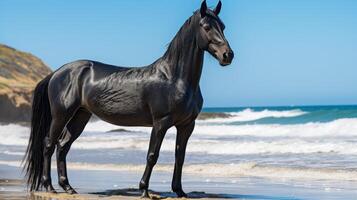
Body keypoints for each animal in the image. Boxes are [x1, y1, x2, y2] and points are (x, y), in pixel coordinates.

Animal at [23, 0, 234, 198]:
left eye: (222, 26)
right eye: (206, 26)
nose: (227, 55)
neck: (174, 78)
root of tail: (57, 72)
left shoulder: (187, 125)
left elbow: (179, 157)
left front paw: (180, 191)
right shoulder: (161, 123)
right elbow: (152, 155)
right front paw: (144, 190)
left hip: (80, 116)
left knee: (63, 146)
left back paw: (68, 187)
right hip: (61, 115)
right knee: (49, 144)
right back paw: (50, 187)